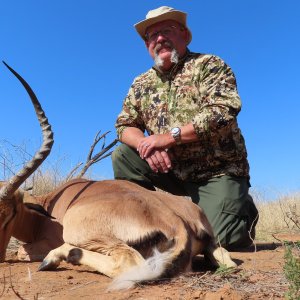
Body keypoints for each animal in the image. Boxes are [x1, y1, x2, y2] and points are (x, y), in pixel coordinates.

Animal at [0, 62, 237, 290]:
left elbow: (22, 251)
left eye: (10, 213)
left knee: (126, 262)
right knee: (227, 260)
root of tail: (180, 224)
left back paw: (54, 259)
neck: (46, 207)